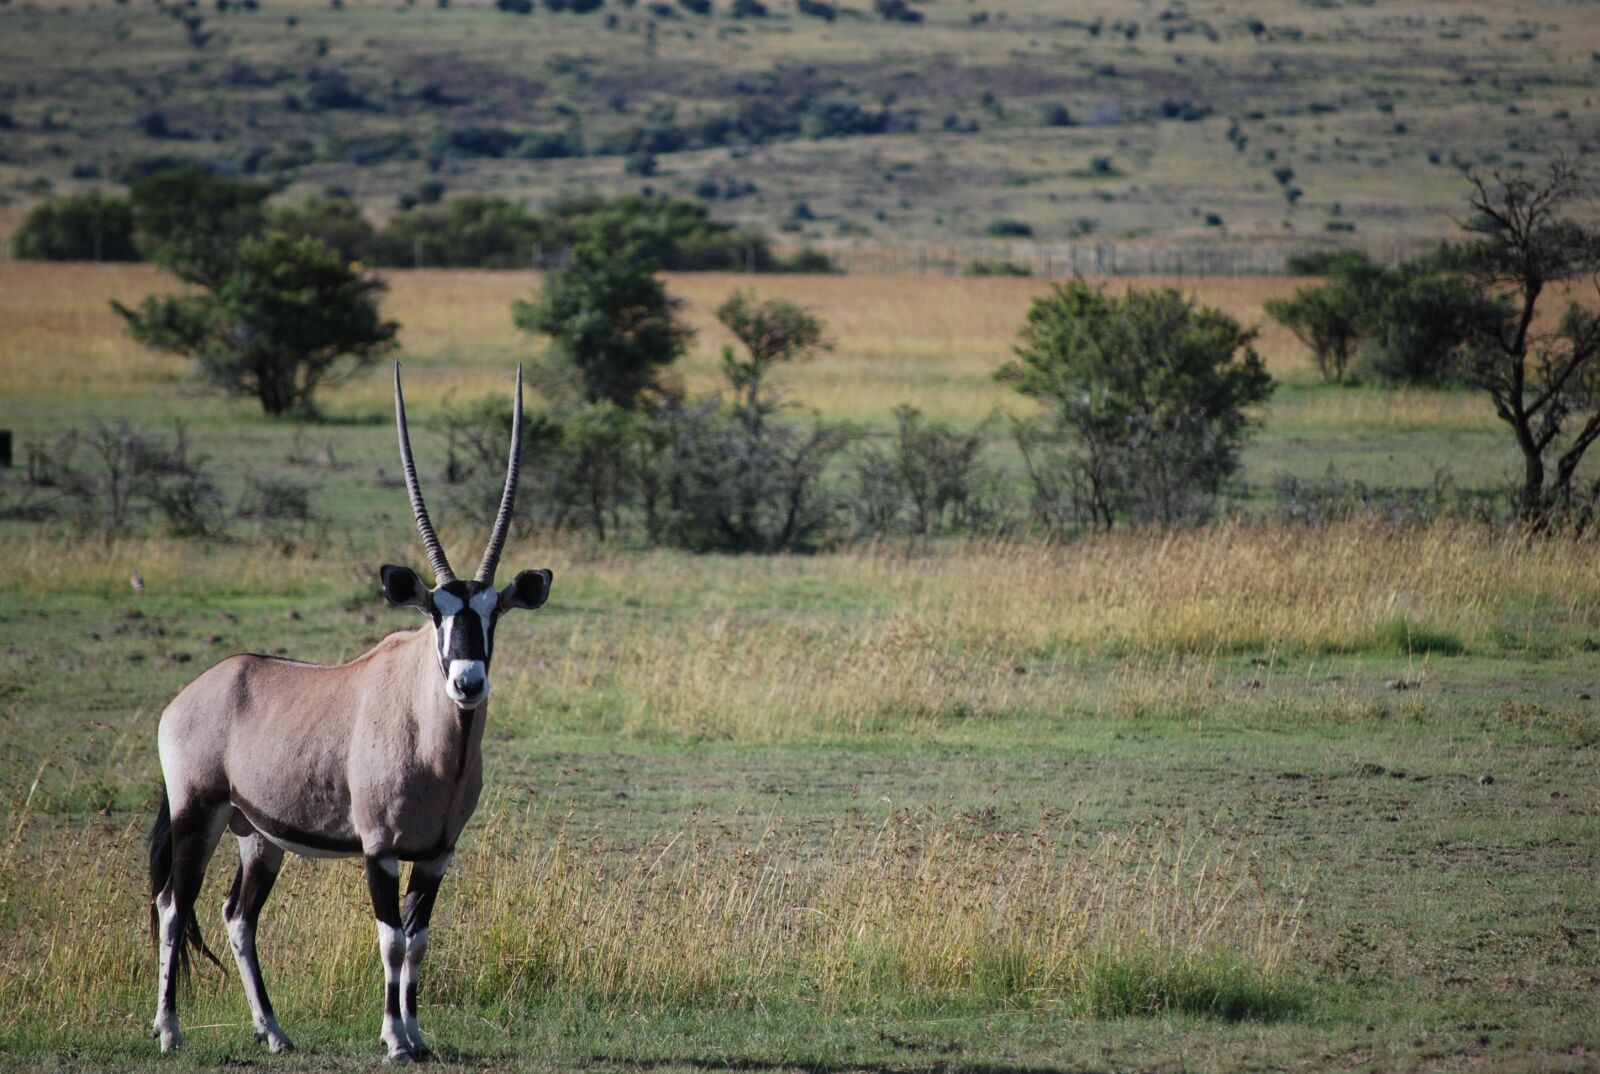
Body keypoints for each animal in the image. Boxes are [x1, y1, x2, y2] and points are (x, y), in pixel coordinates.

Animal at [147, 363, 550, 1062]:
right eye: (436, 611)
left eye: (494, 612)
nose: (468, 682)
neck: (436, 744)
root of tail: (194, 693)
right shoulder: (379, 850)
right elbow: (390, 939)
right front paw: (393, 1039)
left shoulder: (436, 854)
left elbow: (418, 942)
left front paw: (417, 1036)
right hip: (197, 812)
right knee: (175, 904)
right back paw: (169, 1031)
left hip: (256, 835)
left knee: (238, 916)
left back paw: (274, 1031)